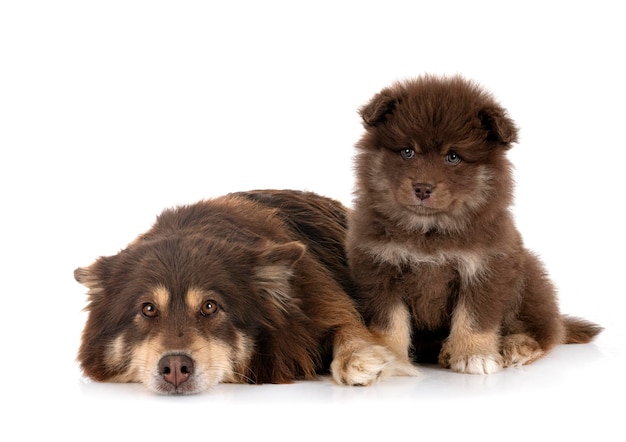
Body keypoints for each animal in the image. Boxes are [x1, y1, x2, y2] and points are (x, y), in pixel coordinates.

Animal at [75, 189, 416, 394]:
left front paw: (359, 360)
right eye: (147, 309)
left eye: (210, 307)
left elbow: (348, 327)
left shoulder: (322, 300)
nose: (174, 369)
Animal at [346, 75, 600, 372]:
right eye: (408, 152)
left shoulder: (485, 267)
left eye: (453, 157)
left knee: (546, 332)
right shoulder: (379, 269)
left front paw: (473, 354)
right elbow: (390, 324)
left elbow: (474, 319)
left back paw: (516, 347)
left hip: (527, 277)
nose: (422, 188)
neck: (430, 232)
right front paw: (391, 359)